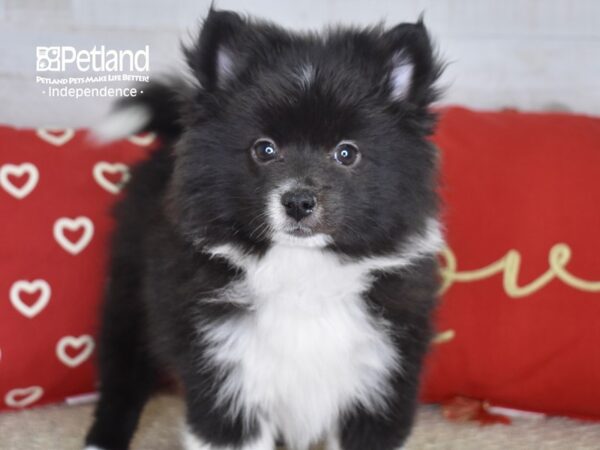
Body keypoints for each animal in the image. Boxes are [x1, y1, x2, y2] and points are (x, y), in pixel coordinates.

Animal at [86, 7, 448, 450]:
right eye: (265, 149)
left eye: (347, 153)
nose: (298, 201)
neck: (302, 271)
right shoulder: (226, 380)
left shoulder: (380, 379)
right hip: (129, 296)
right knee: (121, 379)